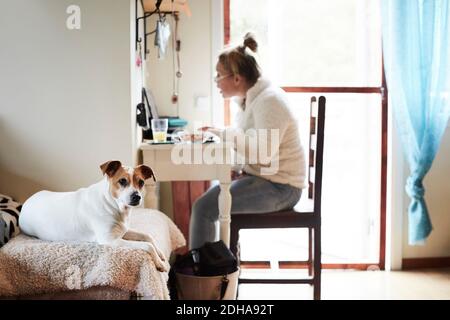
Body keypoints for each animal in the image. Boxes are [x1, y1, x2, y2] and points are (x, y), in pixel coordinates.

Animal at [19, 161, 169, 272]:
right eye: (122, 181)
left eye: (141, 182)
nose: (137, 197)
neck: (112, 204)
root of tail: (27, 202)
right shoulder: (109, 240)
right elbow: (147, 245)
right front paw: (159, 263)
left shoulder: (123, 231)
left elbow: (148, 236)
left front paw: (160, 253)